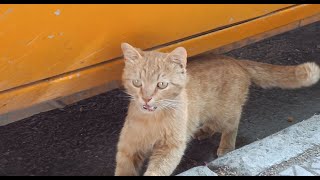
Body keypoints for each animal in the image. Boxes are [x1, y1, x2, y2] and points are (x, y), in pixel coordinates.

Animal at [114, 42, 318, 176]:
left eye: (161, 85)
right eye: (137, 83)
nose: (147, 98)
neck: (152, 120)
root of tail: (235, 61)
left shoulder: (170, 149)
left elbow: (157, 171)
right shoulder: (128, 148)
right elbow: (124, 170)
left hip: (227, 112)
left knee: (231, 125)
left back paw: (226, 145)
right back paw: (203, 131)